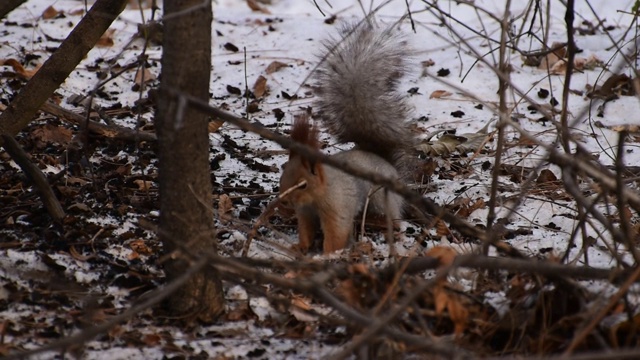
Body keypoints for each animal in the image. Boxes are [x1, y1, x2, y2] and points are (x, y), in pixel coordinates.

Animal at [278, 21, 412, 253]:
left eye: (303, 185)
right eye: (283, 175)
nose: (284, 202)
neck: (316, 197)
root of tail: (386, 163)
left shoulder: (337, 206)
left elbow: (336, 232)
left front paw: (329, 254)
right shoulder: (305, 212)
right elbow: (306, 230)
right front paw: (300, 247)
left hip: (382, 198)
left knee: (394, 215)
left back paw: (396, 231)